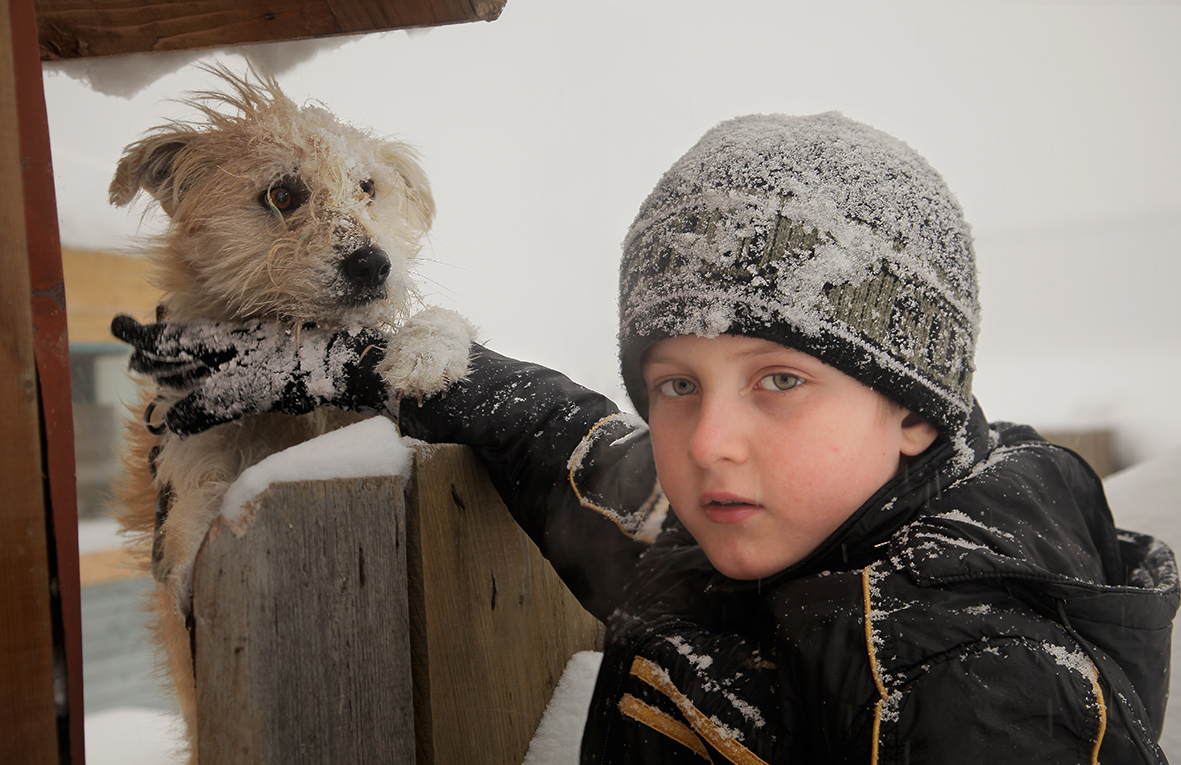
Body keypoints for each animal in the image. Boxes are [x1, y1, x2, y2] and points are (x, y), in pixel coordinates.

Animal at [109, 67, 470, 760]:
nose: (373, 264)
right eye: (282, 194)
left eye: (368, 187)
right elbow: (198, 489)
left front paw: (428, 350)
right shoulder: (189, 436)